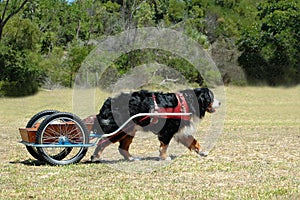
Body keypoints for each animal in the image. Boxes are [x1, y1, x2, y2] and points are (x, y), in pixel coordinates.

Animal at [90, 87, 219, 161]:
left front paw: (202, 151)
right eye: (211, 97)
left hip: (129, 130)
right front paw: (165, 157)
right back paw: (95, 157)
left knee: (122, 147)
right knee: (103, 141)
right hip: (120, 129)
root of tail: (109, 101)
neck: (185, 103)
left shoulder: (181, 132)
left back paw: (131, 158)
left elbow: (194, 141)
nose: (220, 103)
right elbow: (164, 146)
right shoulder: (167, 131)